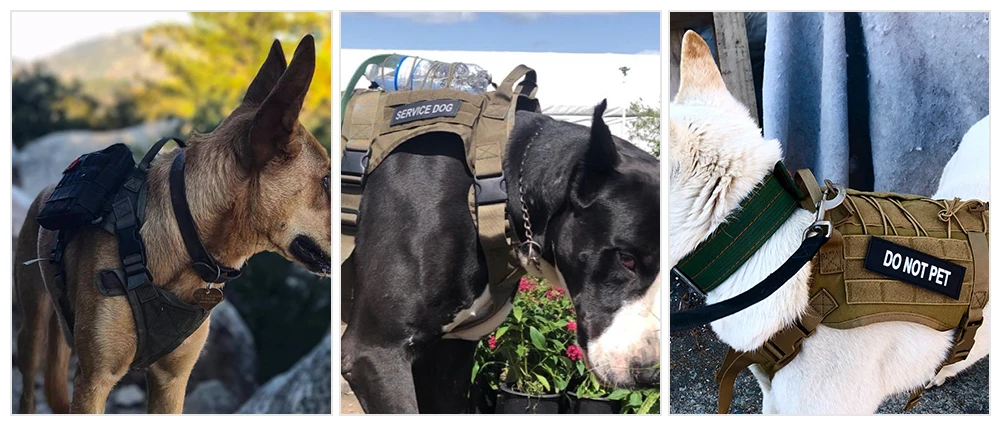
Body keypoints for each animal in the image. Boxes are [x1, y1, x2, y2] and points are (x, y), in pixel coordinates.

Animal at [12, 36, 332, 414]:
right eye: (328, 181)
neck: (186, 234)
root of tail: (46, 190)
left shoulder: (172, 382)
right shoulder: (94, 381)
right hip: (31, 331)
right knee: (28, 389)